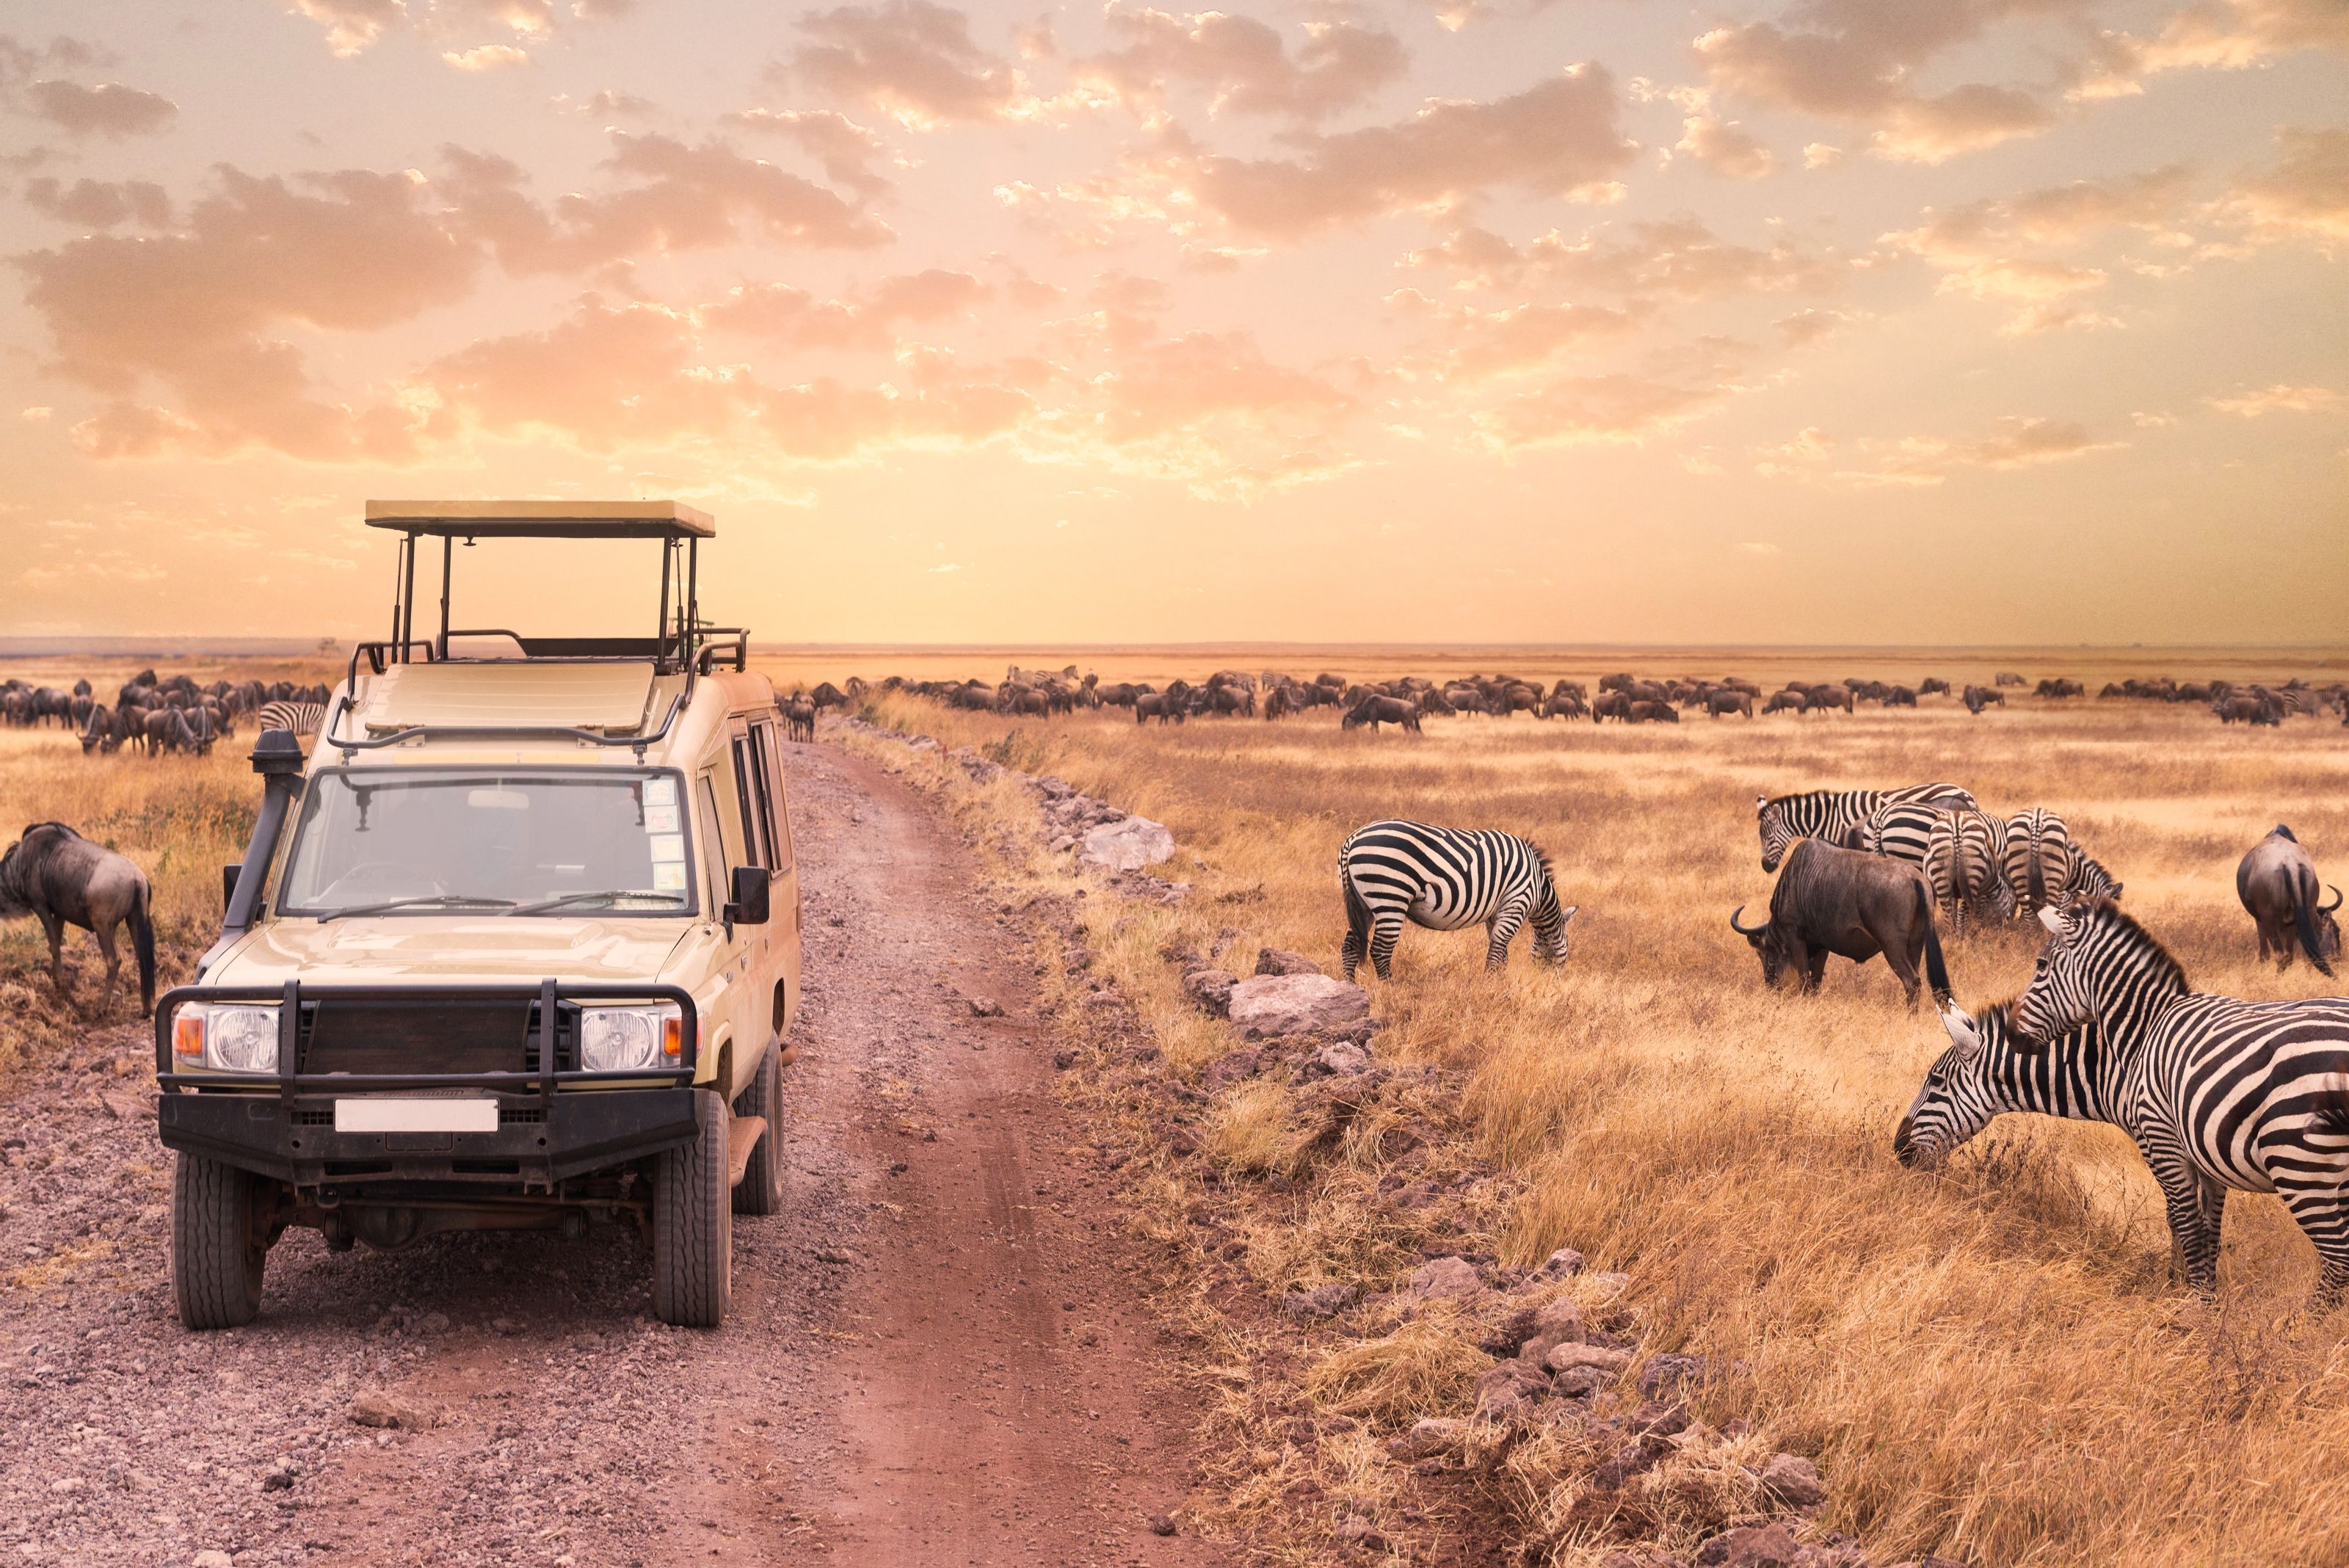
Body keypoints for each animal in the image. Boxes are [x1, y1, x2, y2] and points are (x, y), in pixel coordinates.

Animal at [1343, 821, 1578, 981]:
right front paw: (1491, 984)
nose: (1551, 979)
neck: (1538, 886)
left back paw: (1351, 987)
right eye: (1568, 944)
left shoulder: (1496, 913)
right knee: (1380, 950)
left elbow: (1499, 949)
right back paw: (1390, 987)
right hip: (1391, 897)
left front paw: (1499, 979)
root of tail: (1352, 839)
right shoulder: (1516, 903)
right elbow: (1498, 947)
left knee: (1350, 946)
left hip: (1364, 904)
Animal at [1917, 807, 2011, 929]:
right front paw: (1977, 927)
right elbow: (1979, 912)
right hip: (1972, 874)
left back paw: (1955, 934)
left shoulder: (1954, 893)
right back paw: (1964, 933)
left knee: (1949, 915)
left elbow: (1954, 909)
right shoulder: (1982, 893)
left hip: (1942, 872)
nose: (2005, 926)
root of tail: (1957, 820)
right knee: (1963, 911)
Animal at [2011, 892, 2349, 1296]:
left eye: (2041, 966)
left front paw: (2197, 1302)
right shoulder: (2203, 1149)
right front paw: (2204, 1293)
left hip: (2300, 1161)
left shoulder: (2161, 1137)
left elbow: (2187, 1226)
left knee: (2339, 1259)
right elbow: (2208, 1230)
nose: (2012, 1036)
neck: (2146, 1027)